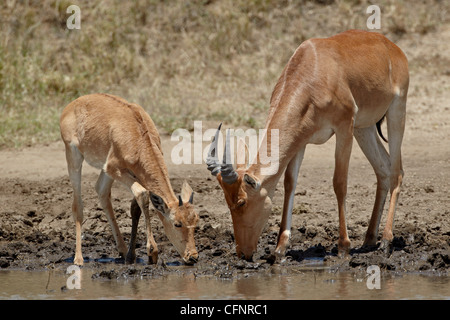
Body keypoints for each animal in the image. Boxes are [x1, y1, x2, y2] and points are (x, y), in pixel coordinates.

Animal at [59, 94, 199, 266]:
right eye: (177, 223)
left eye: (195, 220)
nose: (192, 257)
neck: (138, 133)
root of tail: (73, 104)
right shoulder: (115, 169)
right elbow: (142, 194)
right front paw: (152, 252)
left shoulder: (137, 174)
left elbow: (136, 206)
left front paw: (132, 256)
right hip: (74, 157)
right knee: (78, 205)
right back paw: (78, 258)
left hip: (105, 171)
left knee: (102, 192)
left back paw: (123, 250)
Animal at [207, 29, 408, 260]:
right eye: (227, 202)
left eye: (242, 202)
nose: (243, 253)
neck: (314, 66)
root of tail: (392, 47)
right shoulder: (301, 140)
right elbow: (289, 183)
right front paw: (280, 248)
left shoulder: (344, 128)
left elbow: (340, 183)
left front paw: (343, 246)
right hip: (363, 128)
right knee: (383, 169)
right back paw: (369, 240)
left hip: (395, 112)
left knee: (396, 172)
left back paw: (386, 241)